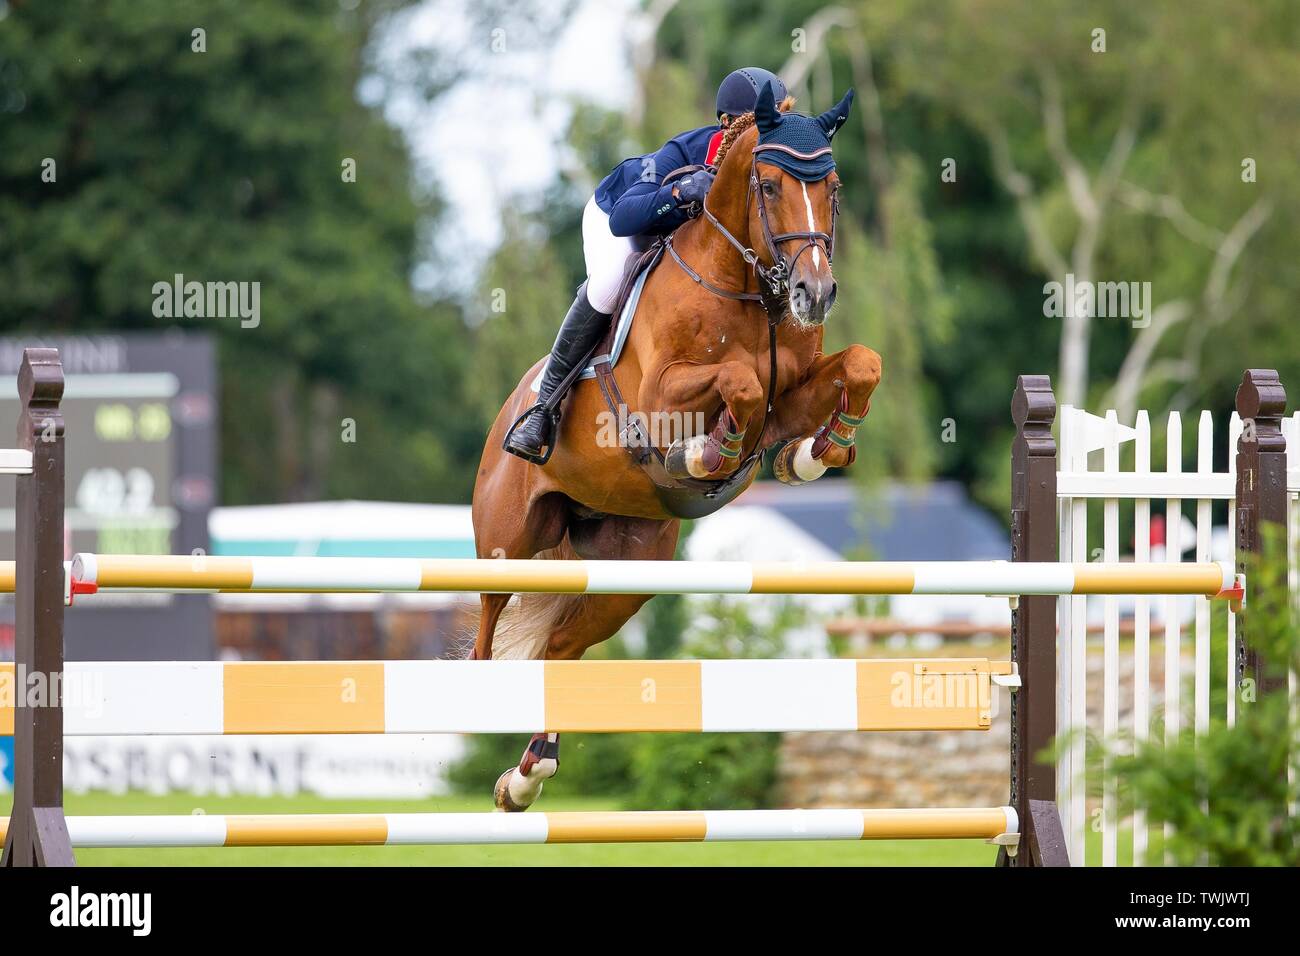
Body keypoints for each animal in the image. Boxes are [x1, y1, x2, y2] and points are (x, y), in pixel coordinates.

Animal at [473, 85, 878, 811]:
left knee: (560, 647)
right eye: (768, 186)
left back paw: (528, 775)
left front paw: (811, 454)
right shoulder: (660, 397)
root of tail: (508, 410)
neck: (746, 283)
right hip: (507, 539)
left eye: (830, 188)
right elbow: (740, 380)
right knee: (489, 627)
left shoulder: (793, 394)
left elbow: (860, 364)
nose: (815, 292)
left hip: (625, 574)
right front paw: (707, 456)